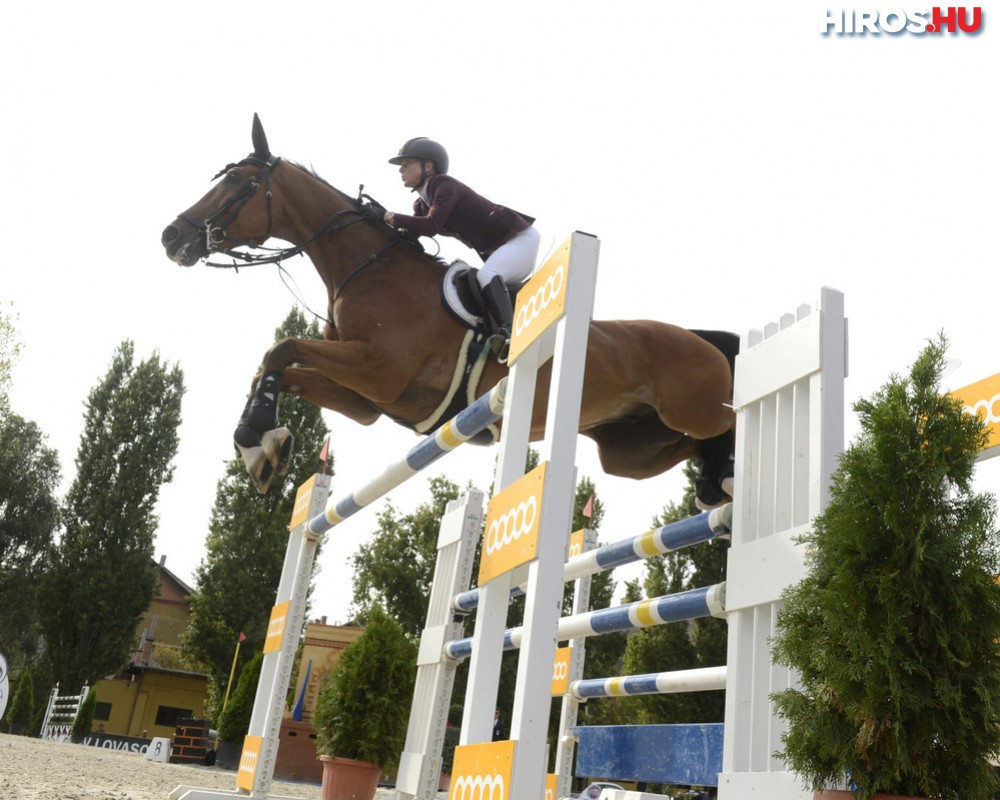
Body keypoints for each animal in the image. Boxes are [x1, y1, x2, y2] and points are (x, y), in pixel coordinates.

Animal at [160, 115, 740, 506]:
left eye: (238, 182)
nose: (171, 237)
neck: (368, 268)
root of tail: (701, 337)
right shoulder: (366, 399)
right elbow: (280, 366)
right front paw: (262, 446)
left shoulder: (377, 370)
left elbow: (281, 349)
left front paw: (259, 439)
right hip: (631, 451)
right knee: (693, 450)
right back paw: (716, 486)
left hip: (692, 410)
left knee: (734, 419)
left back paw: (732, 475)